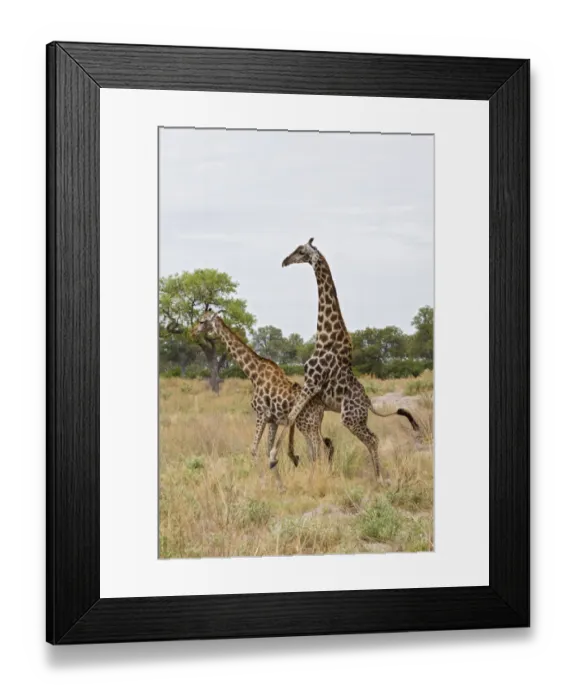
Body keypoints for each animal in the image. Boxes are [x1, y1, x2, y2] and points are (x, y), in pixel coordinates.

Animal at [191, 311, 334, 485]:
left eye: (202, 321)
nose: (193, 332)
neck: (253, 374)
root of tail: (321, 407)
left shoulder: (261, 413)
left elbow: (254, 449)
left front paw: (263, 482)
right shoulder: (273, 420)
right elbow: (268, 450)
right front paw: (278, 483)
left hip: (307, 424)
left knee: (321, 449)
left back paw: (318, 480)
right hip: (311, 425)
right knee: (318, 449)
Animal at [269, 238, 420, 482]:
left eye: (300, 251)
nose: (285, 261)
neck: (325, 337)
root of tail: (368, 403)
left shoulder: (312, 383)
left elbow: (291, 417)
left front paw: (274, 457)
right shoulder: (311, 389)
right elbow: (300, 423)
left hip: (349, 418)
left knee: (373, 439)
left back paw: (379, 477)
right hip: (357, 418)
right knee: (371, 438)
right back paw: (377, 474)